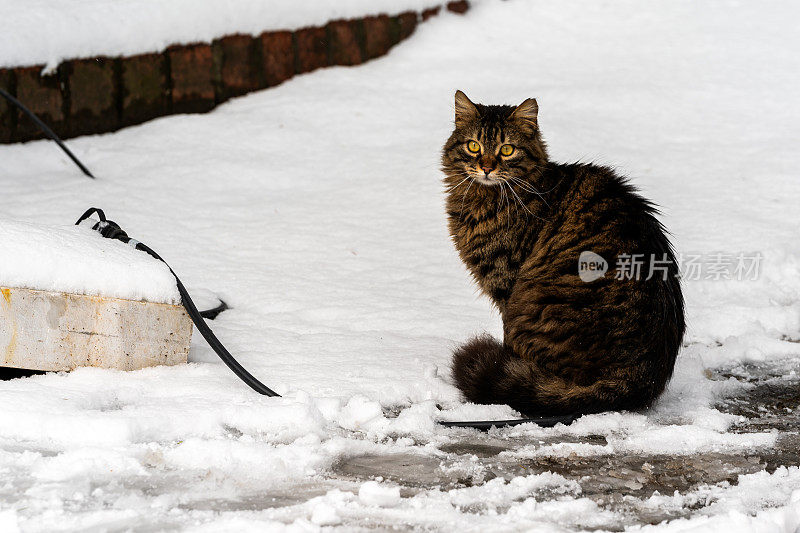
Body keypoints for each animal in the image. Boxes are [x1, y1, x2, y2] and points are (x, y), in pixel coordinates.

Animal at [440, 91, 684, 416]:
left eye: (507, 150)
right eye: (473, 146)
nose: (487, 168)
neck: (484, 198)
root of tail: (633, 382)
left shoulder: (506, 286)